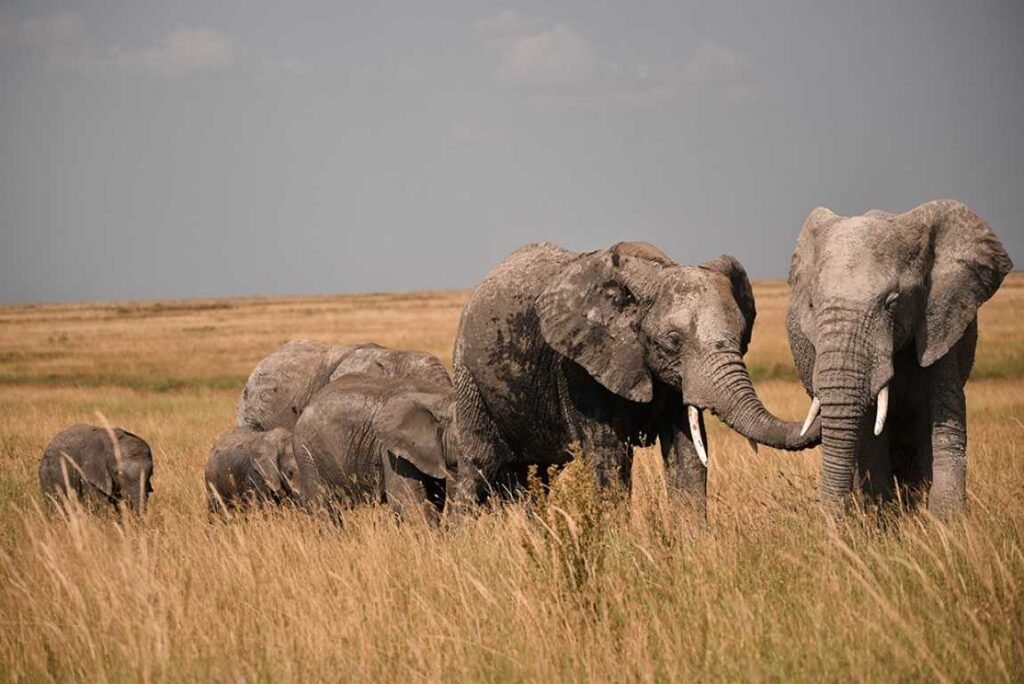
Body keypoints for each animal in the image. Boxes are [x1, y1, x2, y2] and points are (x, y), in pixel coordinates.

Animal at [291, 373, 457, 523]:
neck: (436, 397)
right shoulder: (392, 451)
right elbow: (405, 499)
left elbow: (435, 499)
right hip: (309, 453)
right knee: (324, 506)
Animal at [452, 241, 819, 510]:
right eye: (672, 342)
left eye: (742, 336)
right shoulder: (580, 371)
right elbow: (610, 461)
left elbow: (688, 457)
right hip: (468, 378)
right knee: (477, 467)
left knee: (536, 477)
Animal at [787, 199, 1013, 518]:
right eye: (811, 305)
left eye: (892, 304)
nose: (831, 520)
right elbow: (868, 433)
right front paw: (881, 516)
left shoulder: (942, 316)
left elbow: (946, 412)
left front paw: (945, 521)